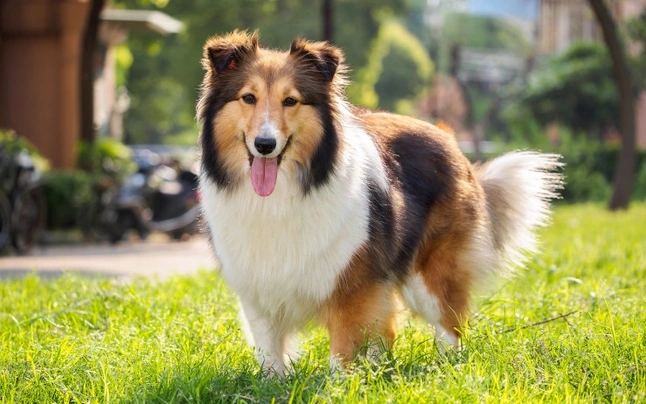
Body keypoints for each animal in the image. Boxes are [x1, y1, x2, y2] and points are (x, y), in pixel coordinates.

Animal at [196, 31, 560, 376]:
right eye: (249, 98)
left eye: (291, 101)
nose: (265, 145)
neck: (283, 194)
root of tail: (447, 136)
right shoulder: (258, 289)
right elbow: (269, 350)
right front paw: (274, 383)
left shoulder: (351, 287)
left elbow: (343, 351)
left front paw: (340, 386)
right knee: (388, 333)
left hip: (430, 273)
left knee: (449, 325)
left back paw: (445, 367)